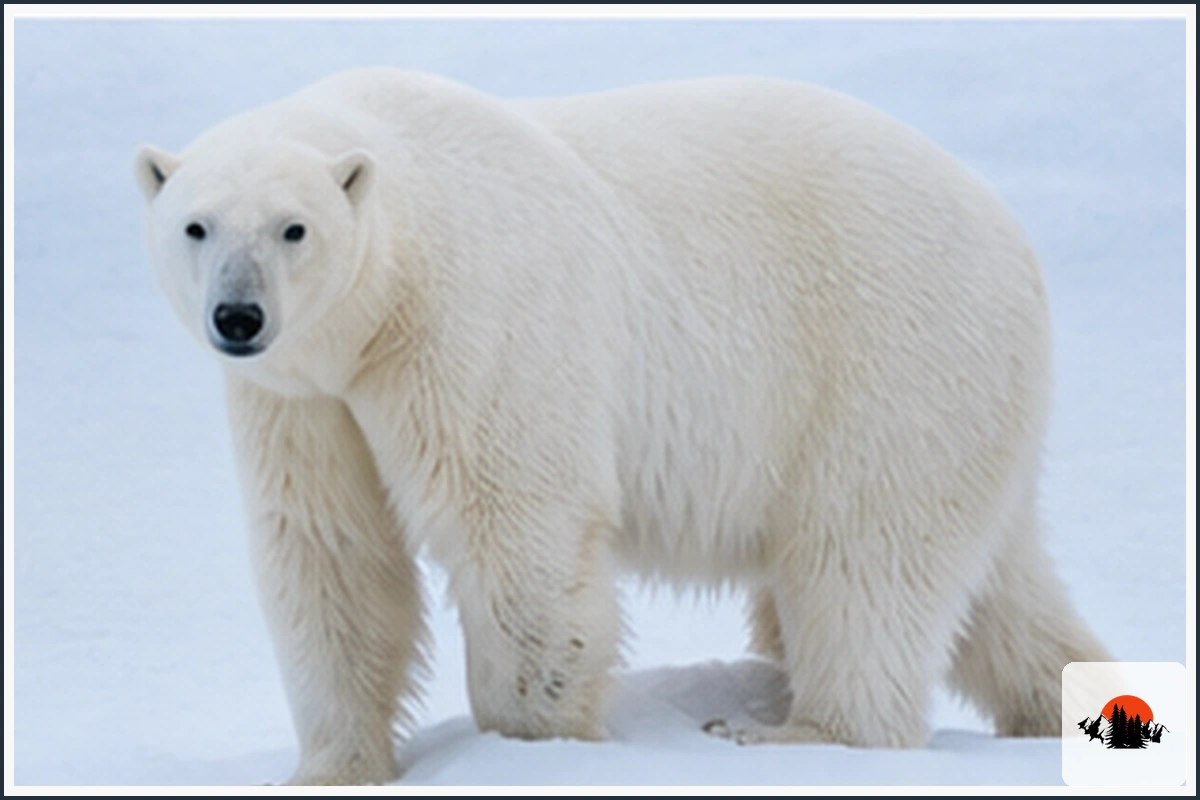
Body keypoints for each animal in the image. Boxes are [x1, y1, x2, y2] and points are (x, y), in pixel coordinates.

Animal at [135, 68, 1112, 785]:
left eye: (294, 229)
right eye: (196, 226)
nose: (239, 317)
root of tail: (1012, 237)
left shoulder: (476, 321)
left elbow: (517, 531)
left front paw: (531, 747)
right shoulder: (306, 402)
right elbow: (331, 552)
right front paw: (327, 770)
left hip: (886, 360)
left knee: (864, 556)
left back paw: (796, 732)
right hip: (963, 402)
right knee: (997, 590)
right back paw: (1056, 704)